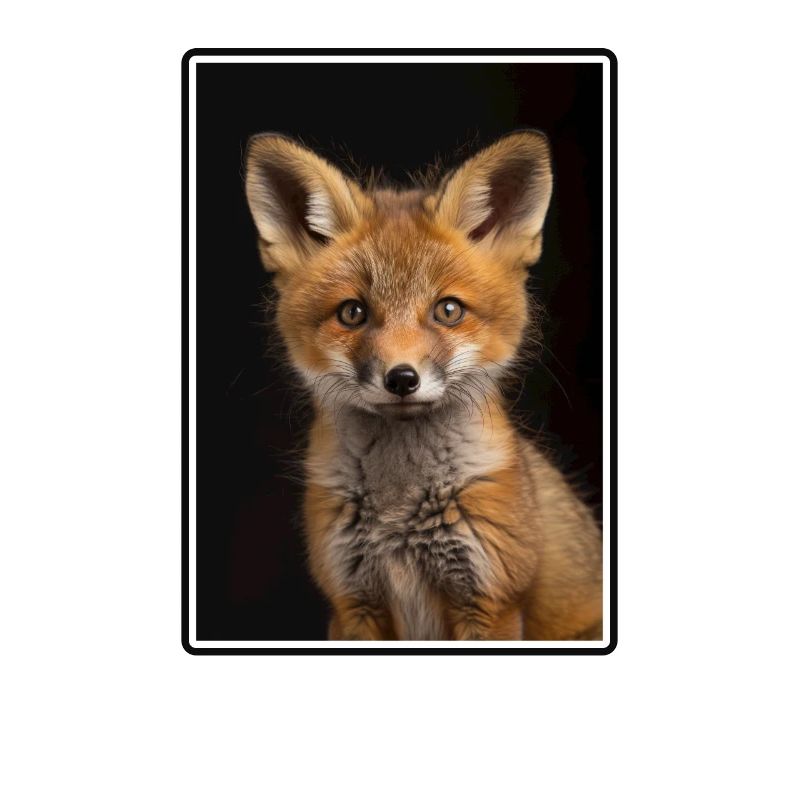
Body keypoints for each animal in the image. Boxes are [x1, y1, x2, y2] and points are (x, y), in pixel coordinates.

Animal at [244, 130, 602, 641]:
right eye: (352, 313)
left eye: (448, 310)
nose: (401, 378)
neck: (399, 512)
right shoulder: (353, 604)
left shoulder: (490, 603)